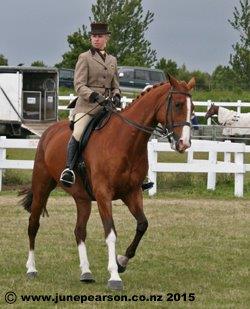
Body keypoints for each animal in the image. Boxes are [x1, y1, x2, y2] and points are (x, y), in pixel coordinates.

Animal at [19, 74, 195, 288]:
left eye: (193, 108)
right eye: (178, 105)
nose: (184, 144)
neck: (125, 141)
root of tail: (49, 131)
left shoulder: (132, 193)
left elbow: (142, 225)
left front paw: (122, 262)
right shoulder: (104, 194)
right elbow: (110, 232)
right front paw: (114, 276)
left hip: (82, 199)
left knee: (79, 231)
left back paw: (86, 272)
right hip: (42, 187)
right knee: (33, 225)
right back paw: (31, 268)